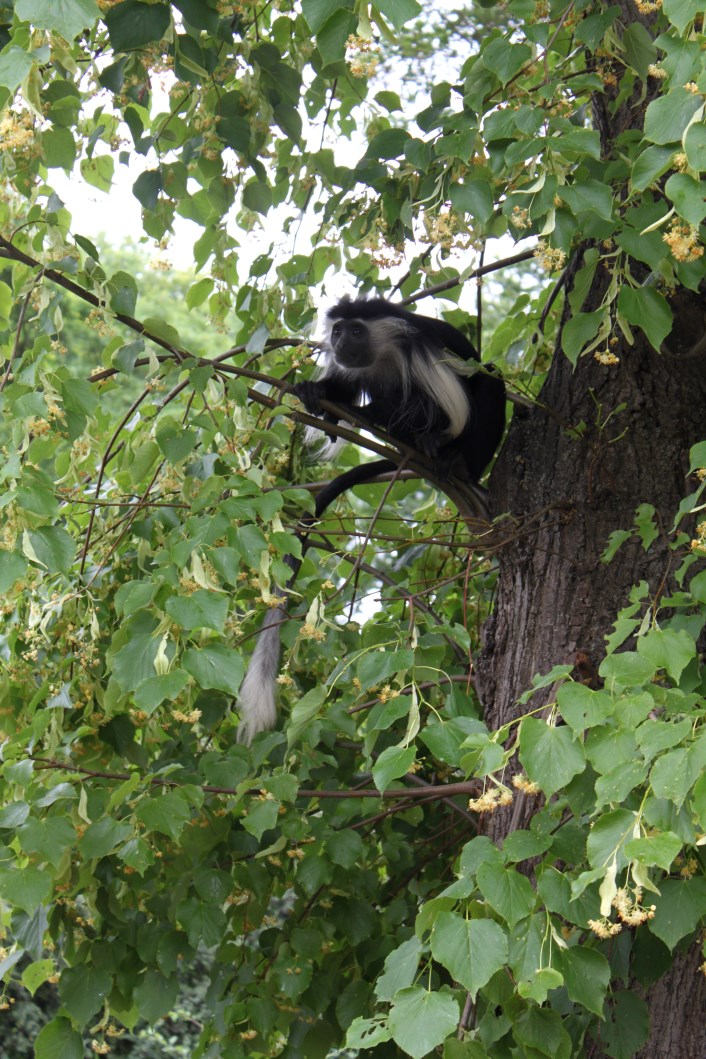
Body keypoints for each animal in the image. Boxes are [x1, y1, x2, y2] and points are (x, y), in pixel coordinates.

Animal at [236, 297, 506, 743]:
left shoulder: (420, 358)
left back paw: (446, 456)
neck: (383, 356)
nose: (341, 341)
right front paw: (317, 392)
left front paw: (421, 433)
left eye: (357, 330)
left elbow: (451, 411)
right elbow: (343, 384)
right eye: (339, 330)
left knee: (487, 384)